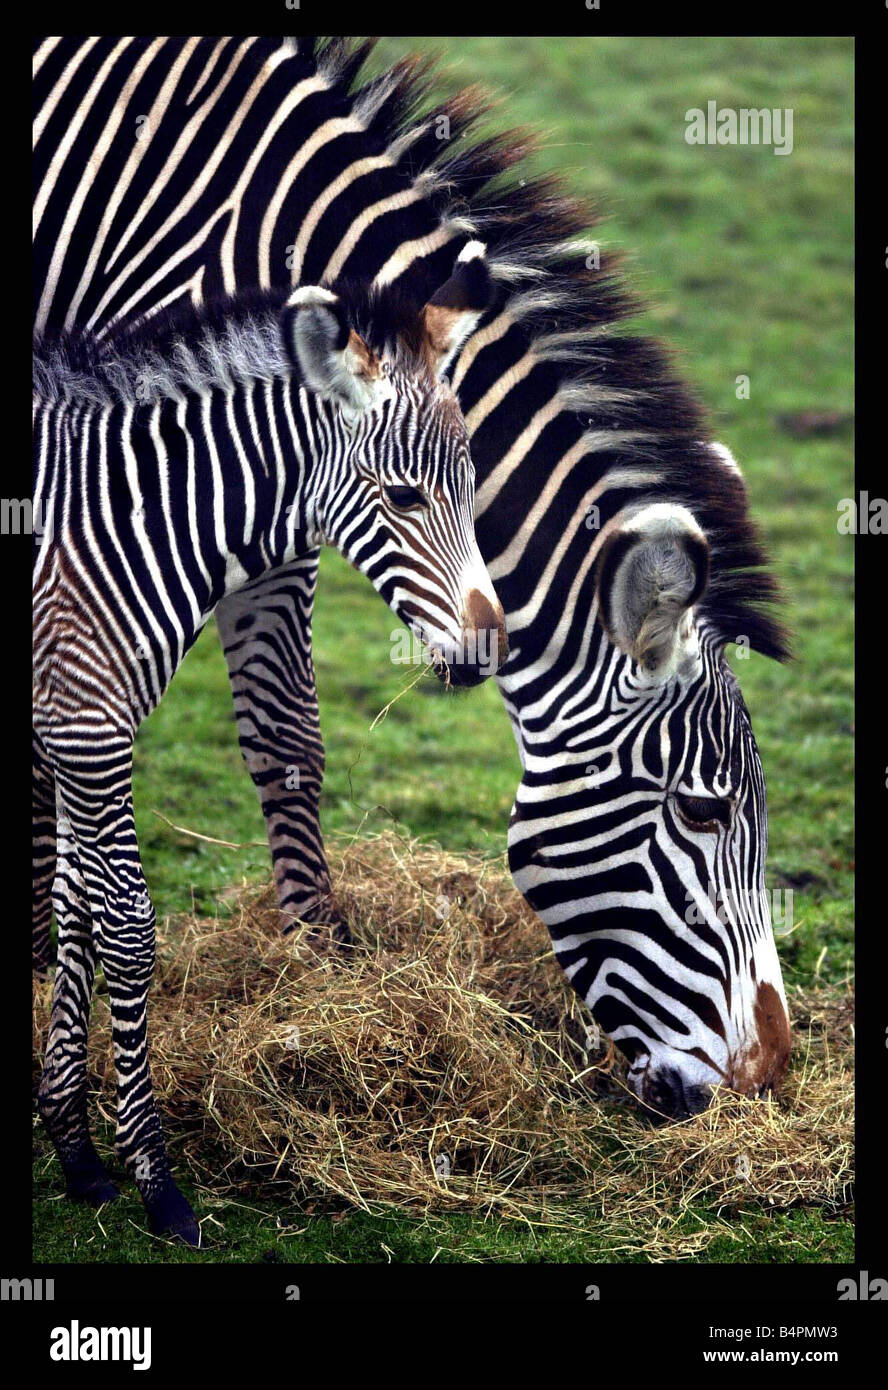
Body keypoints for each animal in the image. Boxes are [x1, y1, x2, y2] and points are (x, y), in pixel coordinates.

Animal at [33, 247, 505, 1239]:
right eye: (404, 496)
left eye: (473, 487)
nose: (489, 653)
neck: (118, 520)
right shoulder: (88, 730)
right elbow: (124, 929)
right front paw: (155, 1179)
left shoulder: (71, 729)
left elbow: (75, 911)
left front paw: (76, 1150)